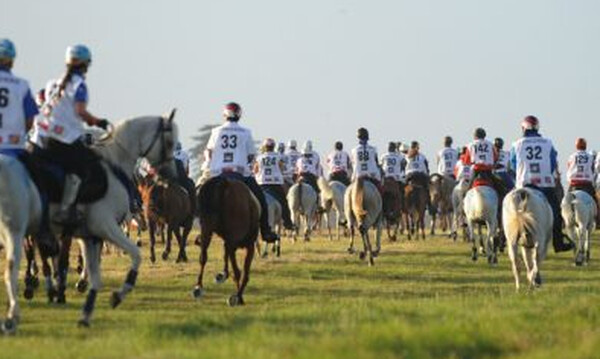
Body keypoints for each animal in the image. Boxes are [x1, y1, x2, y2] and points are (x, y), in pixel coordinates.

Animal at [0, 111, 178, 334]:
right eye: (170, 141)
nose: (171, 174)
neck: (114, 164)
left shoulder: (89, 236)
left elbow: (93, 275)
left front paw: (85, 312)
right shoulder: (105, 226)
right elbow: (136, 255)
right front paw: (118, 295)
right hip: (15, 229)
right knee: (14, 266)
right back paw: (16, 311)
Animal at [192, 176, 258, 308]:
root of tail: (223, 183)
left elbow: (225, 255)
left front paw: (223, 275)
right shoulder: (247, 245)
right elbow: (242, 272)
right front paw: (238, 297)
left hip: (207, 229)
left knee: (203, 256)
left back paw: (199, 287)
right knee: (238, 271)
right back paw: (237, 297)